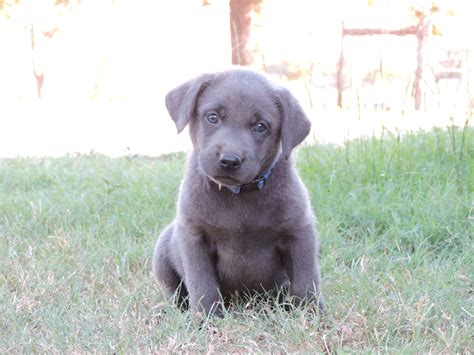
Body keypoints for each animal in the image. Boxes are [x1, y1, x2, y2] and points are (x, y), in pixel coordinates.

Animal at [154, 67, 324, 318]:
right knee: (177, 293)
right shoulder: (194, 236)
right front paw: (206, 319)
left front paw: (312, 315)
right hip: (162, 253)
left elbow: (306, 278)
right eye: (213, 117)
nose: (229, 160)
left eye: (260, 126)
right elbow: (202, 283)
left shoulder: (299, 231)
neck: (238, 194)